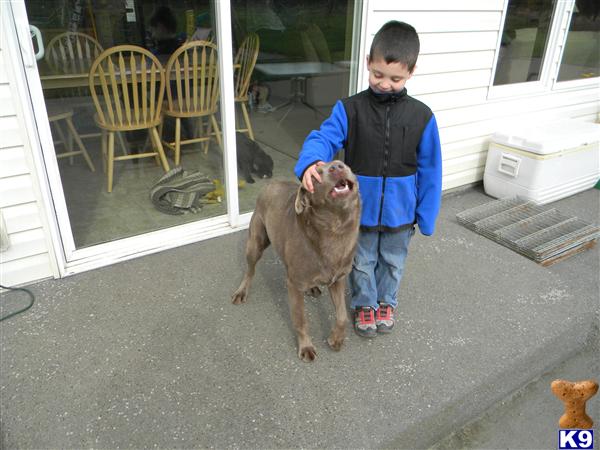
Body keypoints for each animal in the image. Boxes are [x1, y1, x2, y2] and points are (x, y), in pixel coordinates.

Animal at [232, 160, 358, 360]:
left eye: (345, 165)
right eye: (317, 173)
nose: (337, 167)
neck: (335, 229)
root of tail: (271, 182)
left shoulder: (338, 280)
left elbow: (342, 315)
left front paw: (336, 339)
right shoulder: (295, 285)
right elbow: (300, 319)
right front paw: (306, 347)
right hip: (255, 243)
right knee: (250, 270)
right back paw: (241, 292)